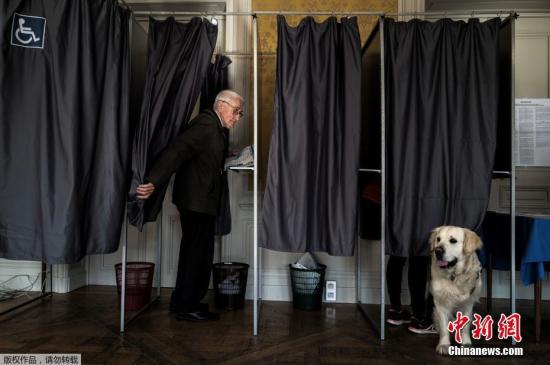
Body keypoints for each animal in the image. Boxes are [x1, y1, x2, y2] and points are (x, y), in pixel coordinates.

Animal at [432, 226, 484, 354]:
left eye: (453, 241)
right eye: (438, 239)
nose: (437, 250)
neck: (454, 275)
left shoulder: (469, 302)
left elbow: (466, 325)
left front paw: (466, 343)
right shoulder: (440, 302)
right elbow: (444, 326)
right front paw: (444, 345)